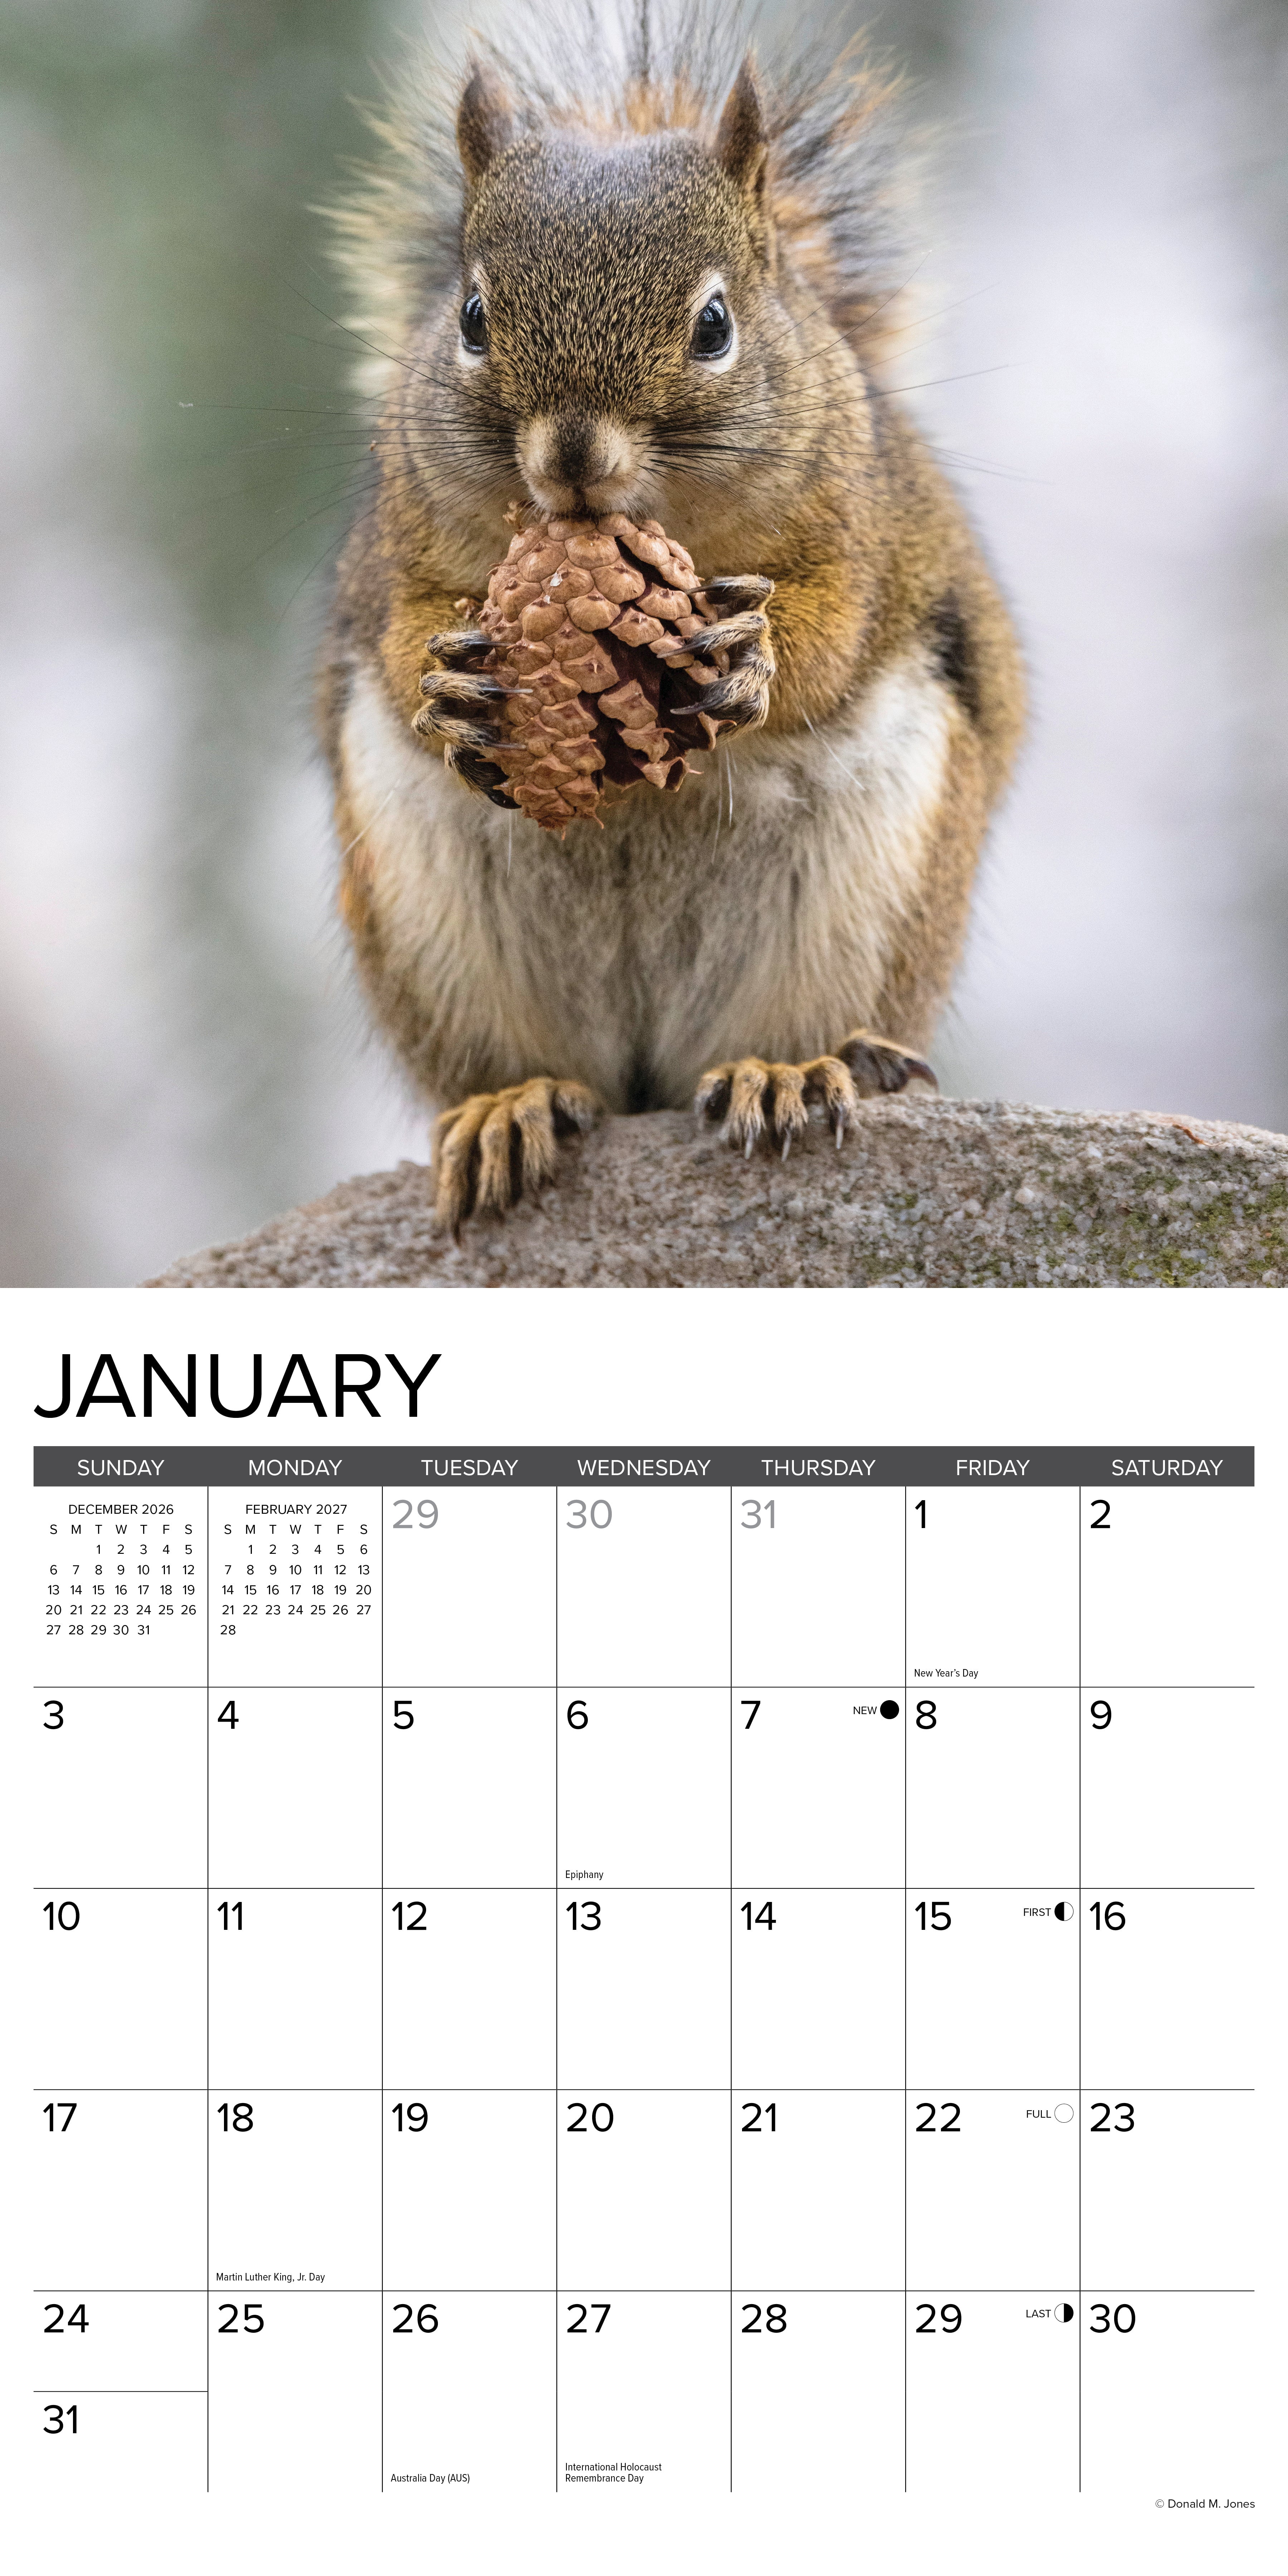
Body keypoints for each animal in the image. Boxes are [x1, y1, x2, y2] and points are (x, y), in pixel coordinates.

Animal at [319, 2, 1024, 1232]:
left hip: (863, 910)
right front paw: (449, 692)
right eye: (470, 317)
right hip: (433, 934)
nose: (572, 461)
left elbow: (837, 636)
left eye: (714, 326)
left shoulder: (866, 534)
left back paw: (786, 1072)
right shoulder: (396, 550)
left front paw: (754, 654)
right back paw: (511, 1104)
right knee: (541, 1075)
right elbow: (404, 631)